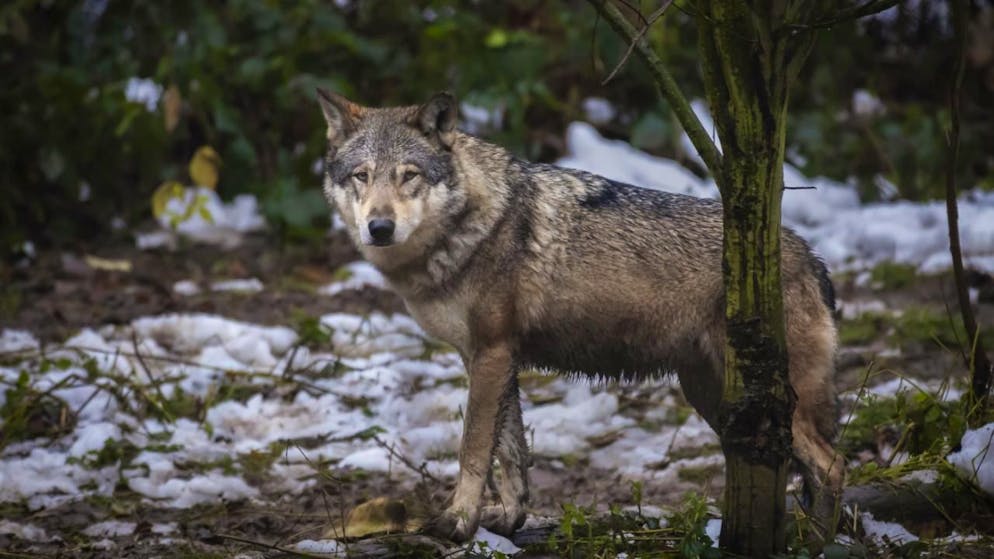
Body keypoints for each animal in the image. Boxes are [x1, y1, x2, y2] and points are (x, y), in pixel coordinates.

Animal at [316, 89, 844, 542]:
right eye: (362, 176)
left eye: (409, 175)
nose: (379, 227)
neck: (470, 228)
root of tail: (810, 255)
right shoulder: (490, 358)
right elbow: (511, 453)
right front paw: (508, 519)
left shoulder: (491, 354)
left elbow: (473, 448)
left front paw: (459, 521)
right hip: (718, 400)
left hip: (763, 400)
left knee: (832, 466)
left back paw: (818, 542)